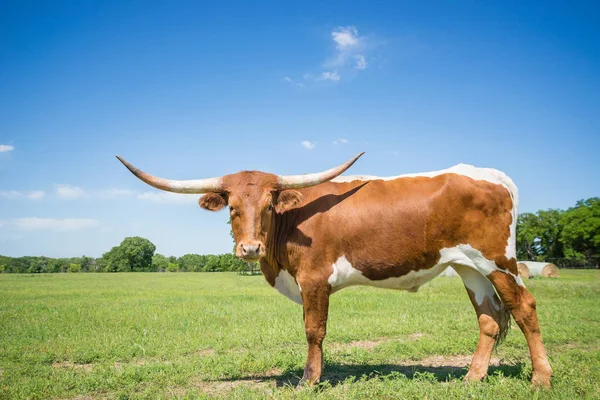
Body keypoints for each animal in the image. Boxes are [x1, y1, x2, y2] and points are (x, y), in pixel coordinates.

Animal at [117, 153, 552, 388]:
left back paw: (541, 378)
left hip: (499, 261)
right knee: (490, 318)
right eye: (232, 206)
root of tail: (492, 175)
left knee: (525, 308)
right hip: (468, 266)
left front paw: (309, 380)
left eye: (269, 205)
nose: (250, 248)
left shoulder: (314, 279)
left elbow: (314, 330)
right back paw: (472, 378)